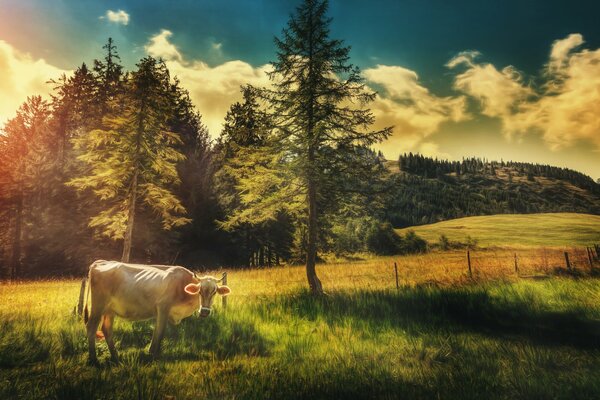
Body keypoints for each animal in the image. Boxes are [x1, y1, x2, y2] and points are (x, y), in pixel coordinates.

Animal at [81, 260, 229, 364]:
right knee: (91, 327)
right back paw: (93, 359)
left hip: (109, 310)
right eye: (199, 291)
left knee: (106, 329)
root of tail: (100, 262)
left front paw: (153, 352)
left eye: (214, 292)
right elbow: (160, 332)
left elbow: (158, 332)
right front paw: (153, 354)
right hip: (98, 306)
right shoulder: (163, 307)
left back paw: (115, 356)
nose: (204, 312)